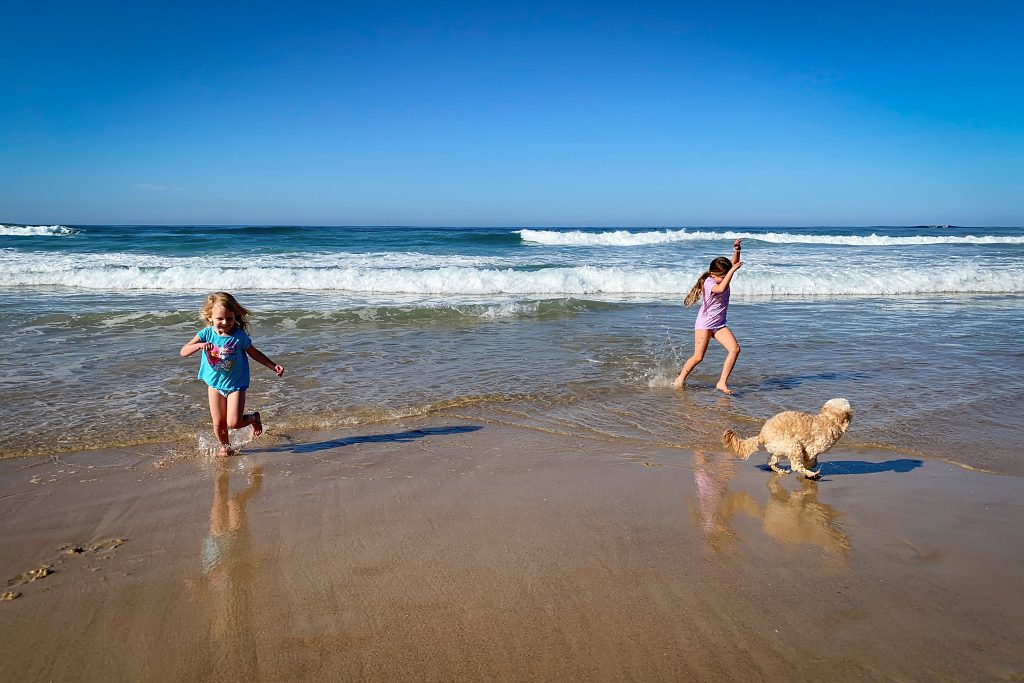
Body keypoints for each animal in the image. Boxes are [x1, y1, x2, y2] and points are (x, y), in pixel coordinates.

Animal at [720, 397, 856, 479]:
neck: (829, 419)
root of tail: (761, 435)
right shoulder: (811, 449)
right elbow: (810, 459)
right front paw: (810, 467)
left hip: (780, 449)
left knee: (771, 462)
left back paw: (781, 471)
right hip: (792, 444)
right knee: (795, 466)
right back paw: (811, 473)